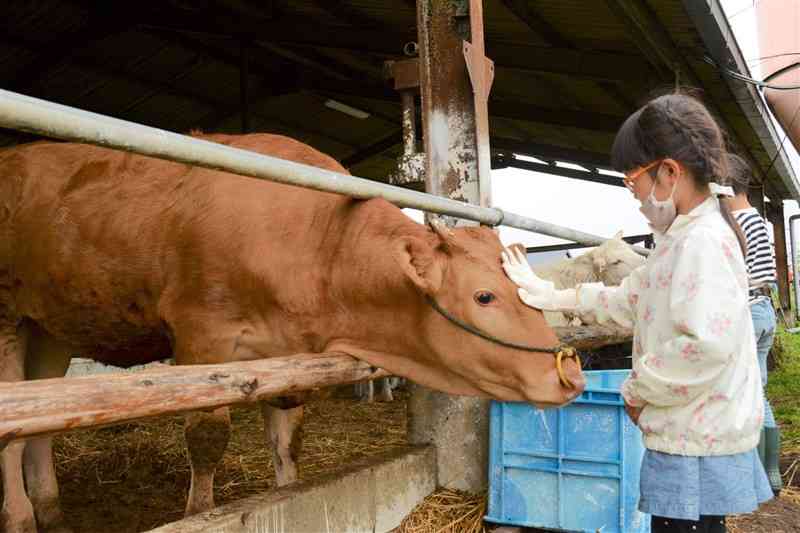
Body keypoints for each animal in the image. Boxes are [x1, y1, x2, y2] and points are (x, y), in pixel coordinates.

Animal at [0, 134, 580, 532]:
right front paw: (199, 510)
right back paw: (21, 516)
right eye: (484, 296)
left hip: (49, 328)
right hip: (7, 317)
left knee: (42, 422)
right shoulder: (201, 336)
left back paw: (51, 511)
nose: (569, 373)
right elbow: (206, 440)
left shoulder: (289, 356)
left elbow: (287, 446)